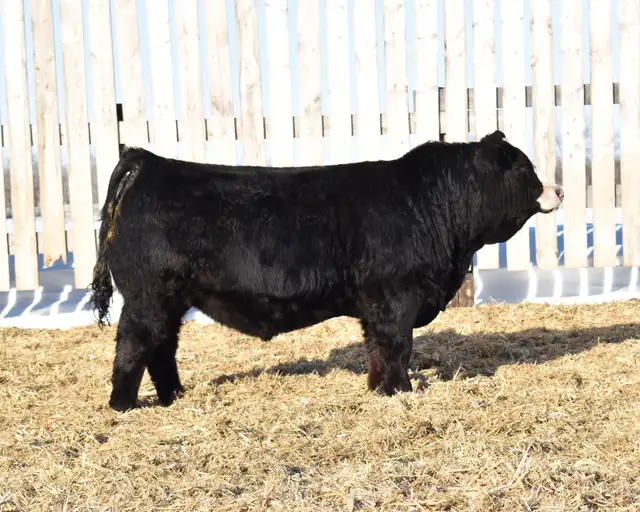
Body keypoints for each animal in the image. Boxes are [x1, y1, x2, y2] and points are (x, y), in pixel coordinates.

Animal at [89, 130, 563, 412]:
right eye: (524, 168)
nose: (558, 189)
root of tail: (149, 162)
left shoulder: (376, 304)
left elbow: (377, 348)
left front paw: (379, 388)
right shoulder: (396, 297)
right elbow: (397, 346)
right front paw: (401, 391)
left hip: (169, 301)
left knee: (162, 348)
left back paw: (174, 396)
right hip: (148, 297)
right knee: (134, 346)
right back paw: (122, 405)